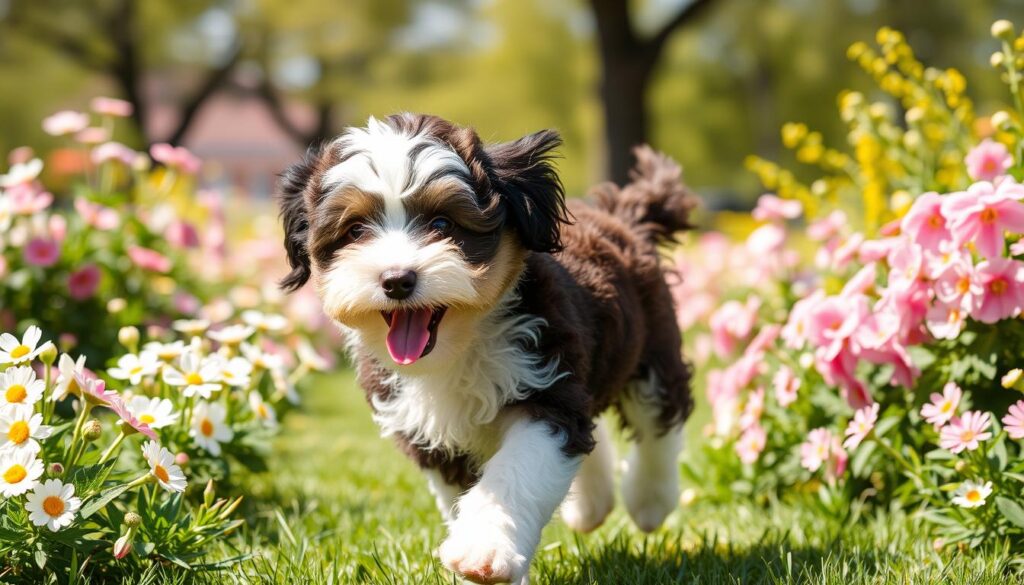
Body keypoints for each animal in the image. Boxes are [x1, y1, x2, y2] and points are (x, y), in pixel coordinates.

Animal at [278, 114, 696, 585]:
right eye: (355, 231)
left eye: (443, 224)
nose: (397, 280)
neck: (459, 346)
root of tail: (624, 218)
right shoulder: (429, 434)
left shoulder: (545, 383)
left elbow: (514, 474)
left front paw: (483, 550)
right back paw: (591, 505)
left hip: (652, 345)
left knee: (661, 418)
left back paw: (649, 500)